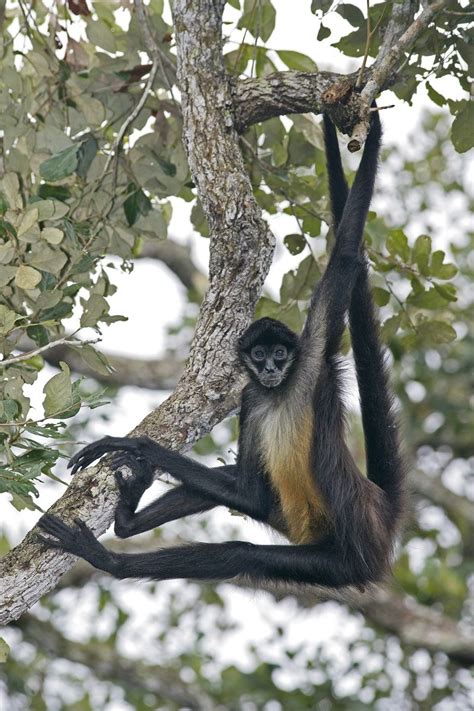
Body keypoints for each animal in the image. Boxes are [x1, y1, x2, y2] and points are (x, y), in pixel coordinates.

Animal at [39, 111, 406, 588]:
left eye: (280, 355)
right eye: (258, 356)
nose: (269, 369)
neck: (277, 393)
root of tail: (376, 511)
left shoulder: (312, 360)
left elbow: (344, 256)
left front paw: (137, 445)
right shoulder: (251, 398)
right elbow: (247, 492)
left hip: (343, 562)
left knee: (239, 553)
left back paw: (110, 560)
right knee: (237, 491)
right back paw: (126, 522)